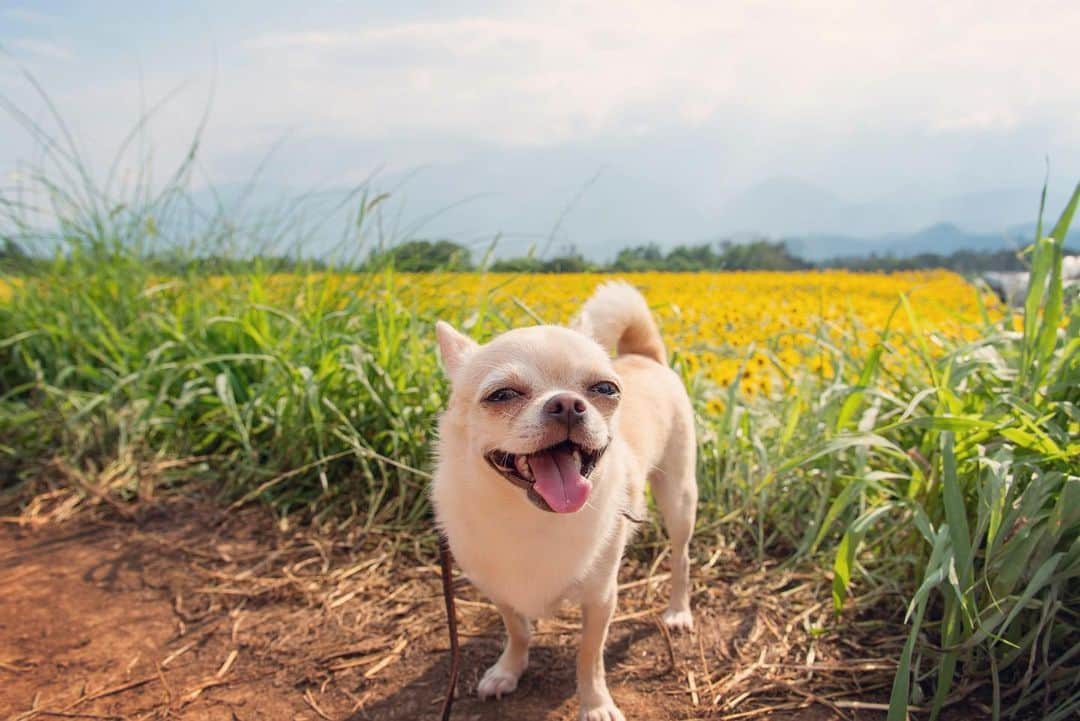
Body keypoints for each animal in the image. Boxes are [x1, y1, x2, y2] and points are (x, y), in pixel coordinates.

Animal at [432, 280, 699, 721]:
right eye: (501, 395)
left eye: (605, 389)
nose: (567, 403)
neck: (531, 518)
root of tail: (643, 356)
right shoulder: (500, 589)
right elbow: (517, 630)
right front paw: (508, 669)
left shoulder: (601, 599)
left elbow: (589, 656)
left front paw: (595, 704)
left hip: (679, 498)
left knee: (681, 557)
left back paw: (678, 610)